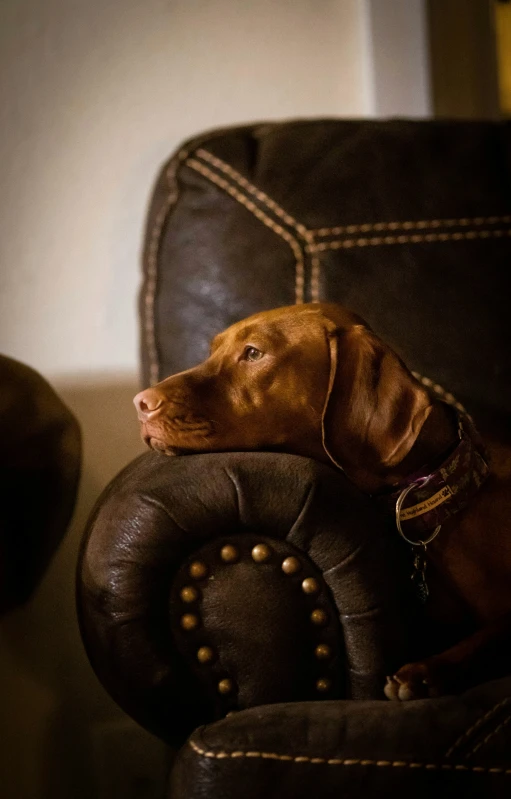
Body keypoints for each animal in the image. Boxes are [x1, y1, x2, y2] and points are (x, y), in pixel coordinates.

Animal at [135, 304, 511, 700]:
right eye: (212, 352)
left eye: (253, 353)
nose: (140, 403)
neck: (448, 482)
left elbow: (493, 633)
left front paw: (427, 672)